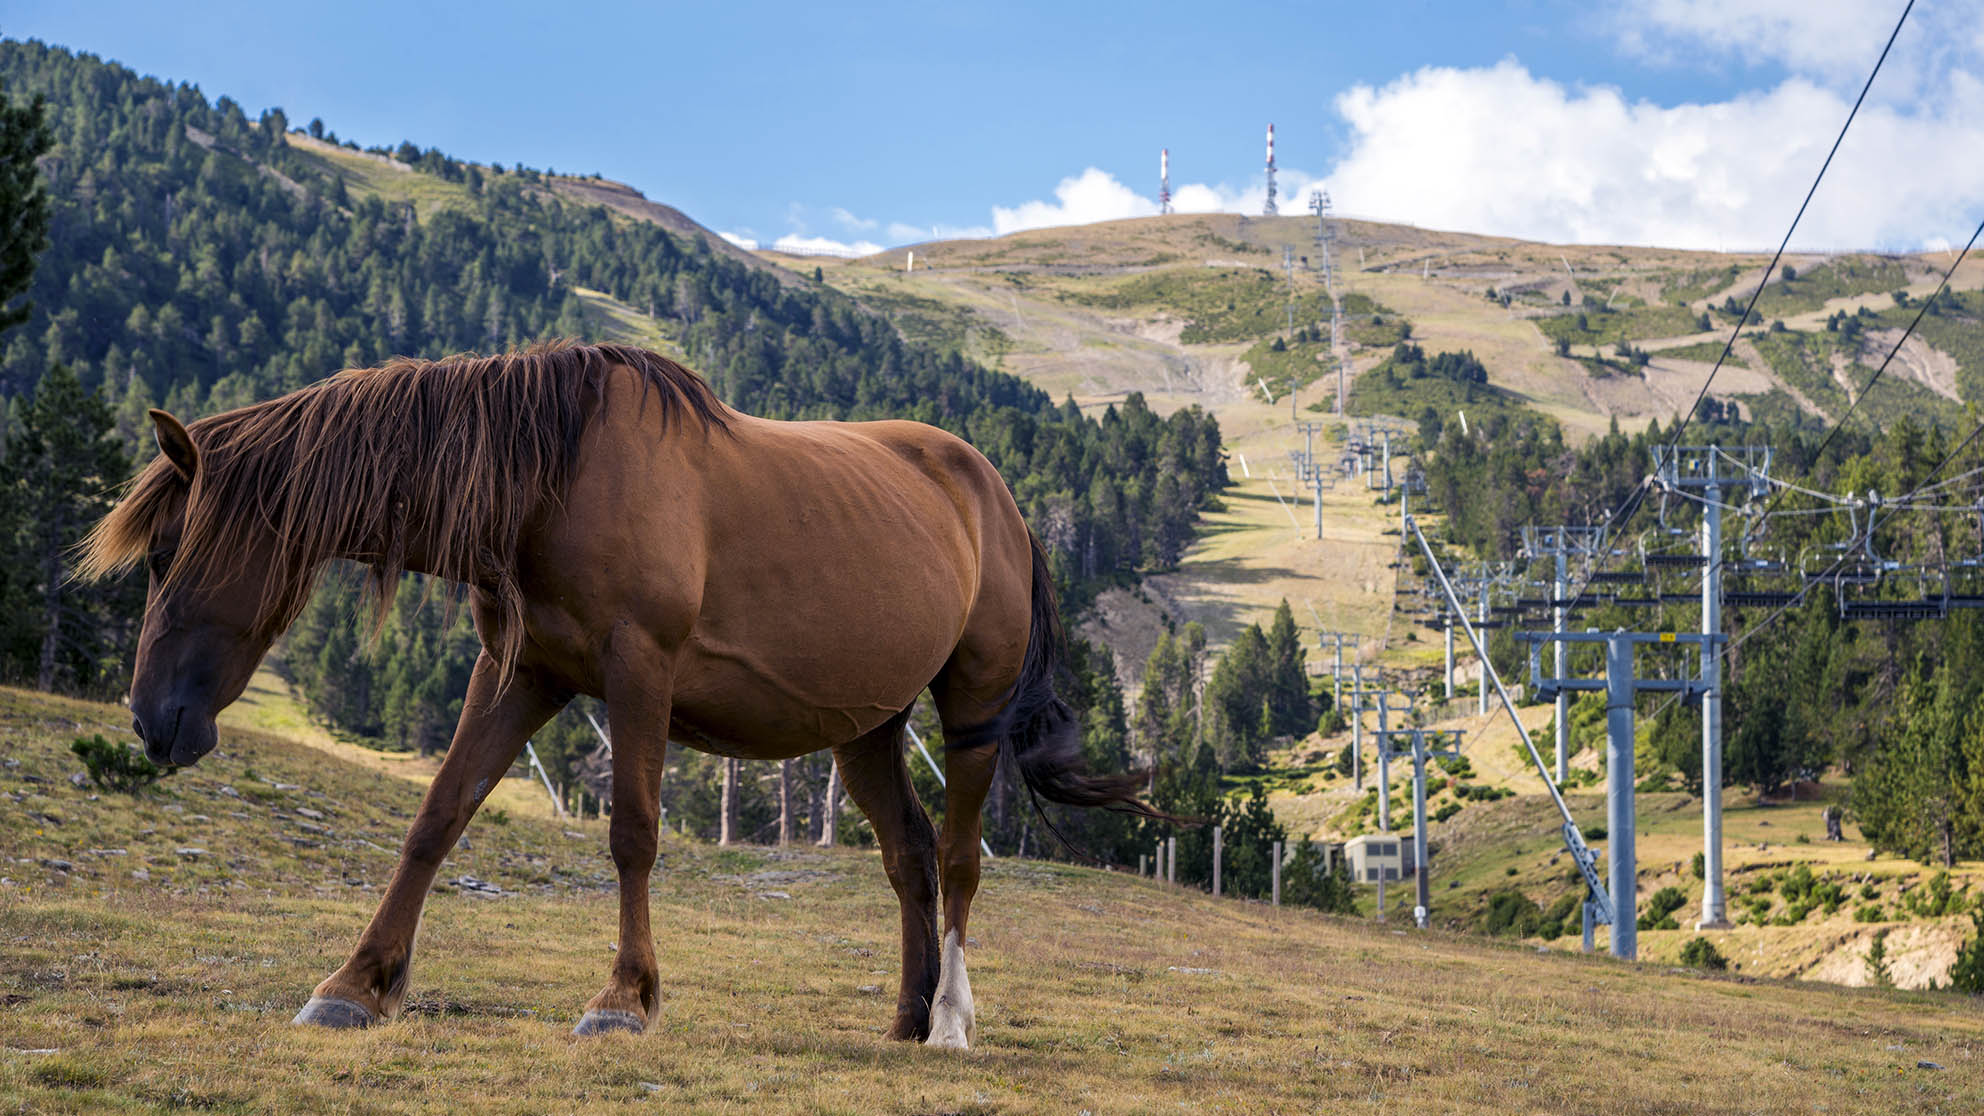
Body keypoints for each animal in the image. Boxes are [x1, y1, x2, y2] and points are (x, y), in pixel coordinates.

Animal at [81, 339, 1158, 1040]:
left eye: (166, 553)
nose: (152, 721)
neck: (550, 482)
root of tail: (994, 494)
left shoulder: (641, 671)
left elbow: (632, 834)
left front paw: (623, 999)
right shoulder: (521, 674)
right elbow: (438, 817)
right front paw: (357, 982)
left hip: (970, 714)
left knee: (962, 858)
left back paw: (951, 1020)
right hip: (867, 728)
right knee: (909, 858)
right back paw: (904, 1015)